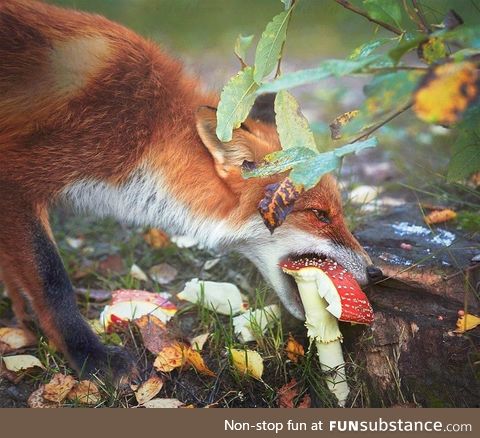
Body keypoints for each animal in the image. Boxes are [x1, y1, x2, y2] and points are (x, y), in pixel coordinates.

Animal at [0, 0, 382, 382]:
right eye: (319, 215)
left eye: (338, 213)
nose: (376, 273)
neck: (147, 129)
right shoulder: (16, 179)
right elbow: (53, 282)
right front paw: (91, 357)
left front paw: (23, 319)